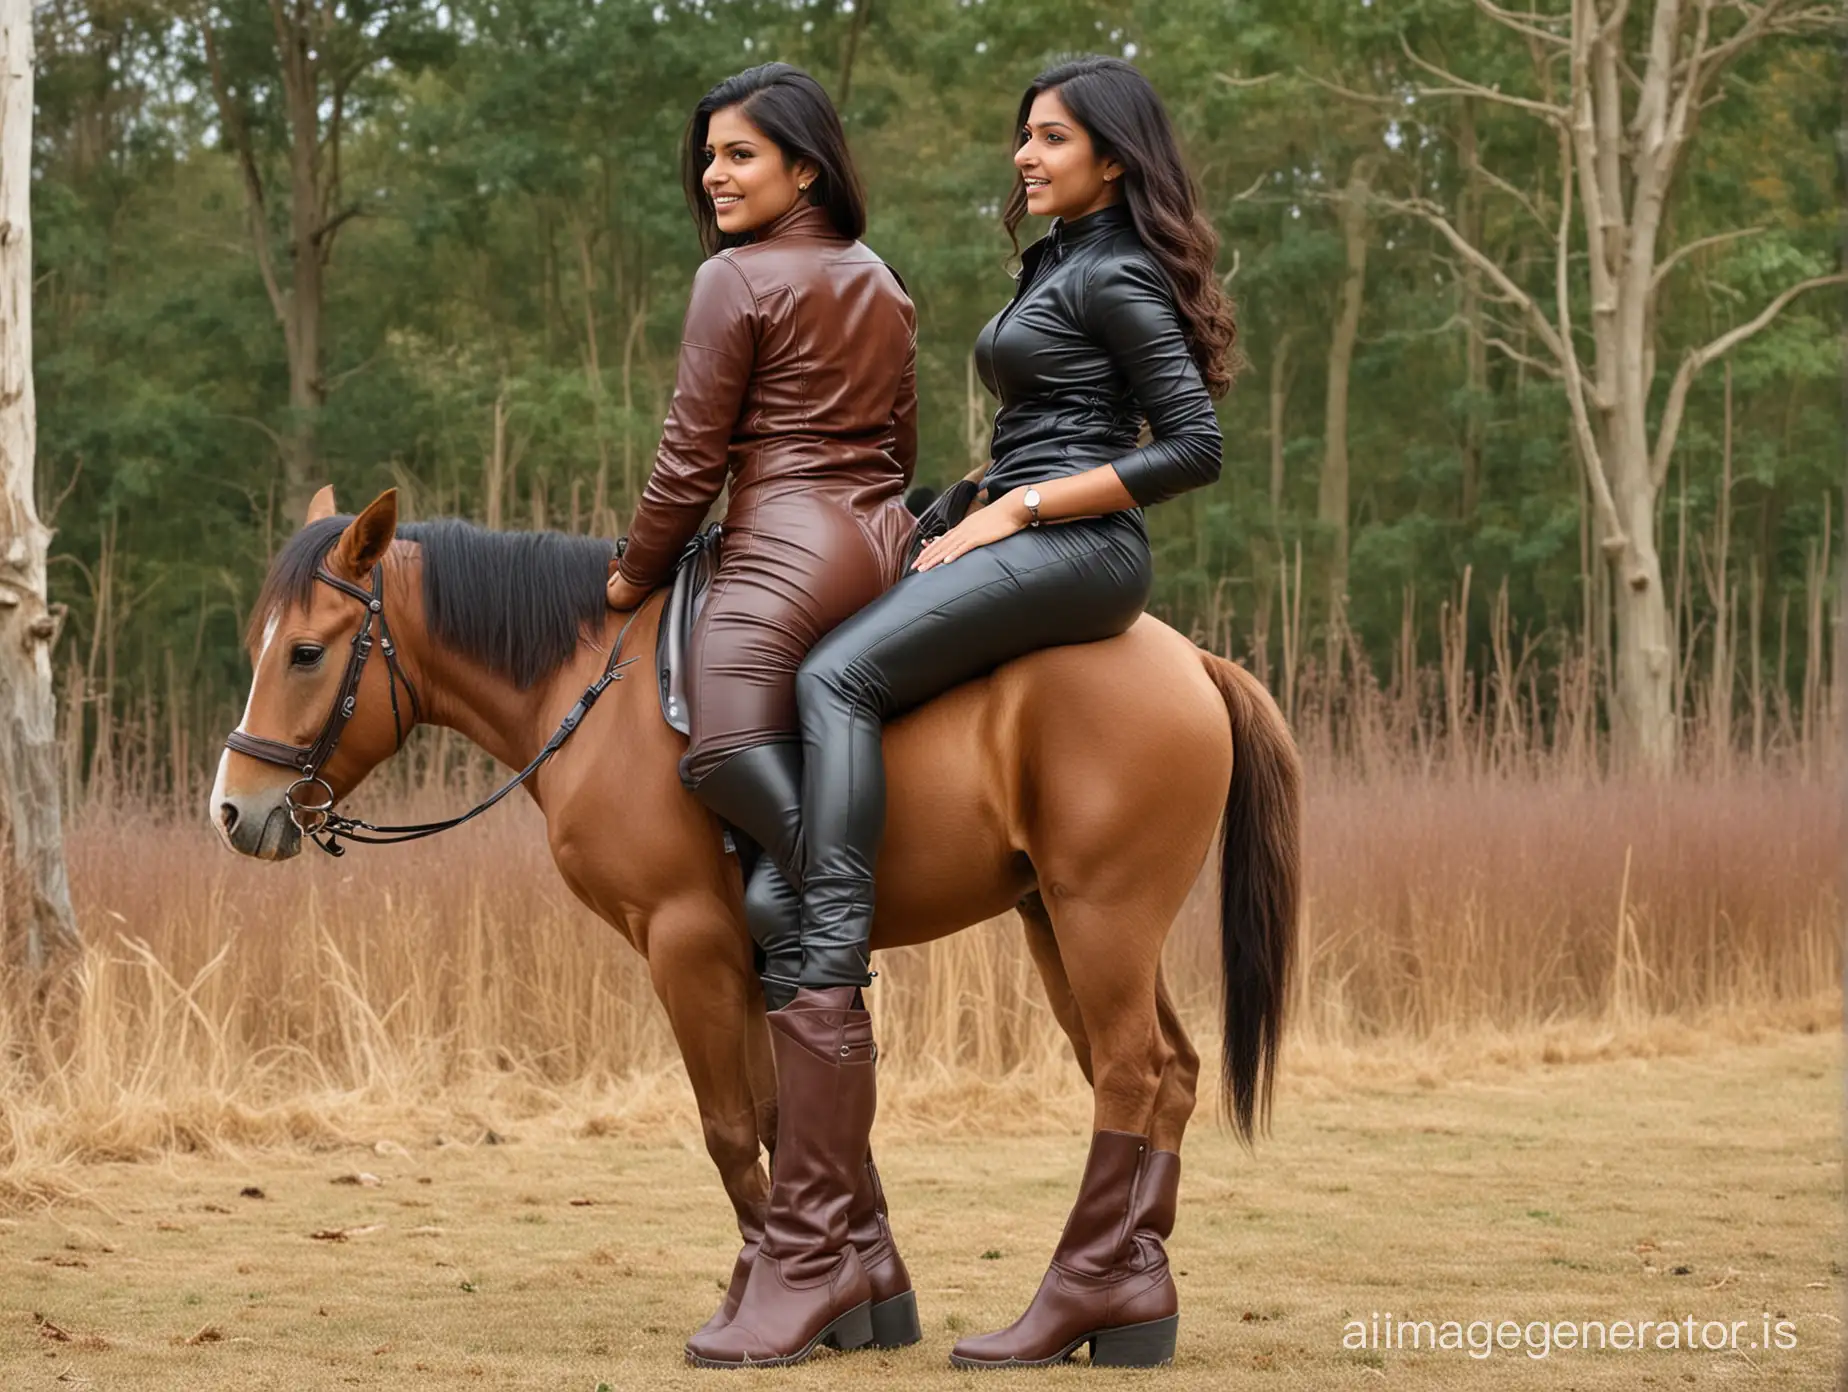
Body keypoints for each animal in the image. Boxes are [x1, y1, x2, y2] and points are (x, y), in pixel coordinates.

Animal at [212, 488, 1300, 1323]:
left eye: (305, 653)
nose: (234, 808)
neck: (596, 692)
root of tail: (1191, 663)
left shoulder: (685, 944)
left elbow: (733, 1130)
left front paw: (770, 1299)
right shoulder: (747, 960)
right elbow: (791, 1118)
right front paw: (848, 1287)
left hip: (1101, 921)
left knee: (1132, 1074)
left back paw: (1082, 1305)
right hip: (1065, 931)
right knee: (1167, 1075)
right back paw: (1128, 1283)